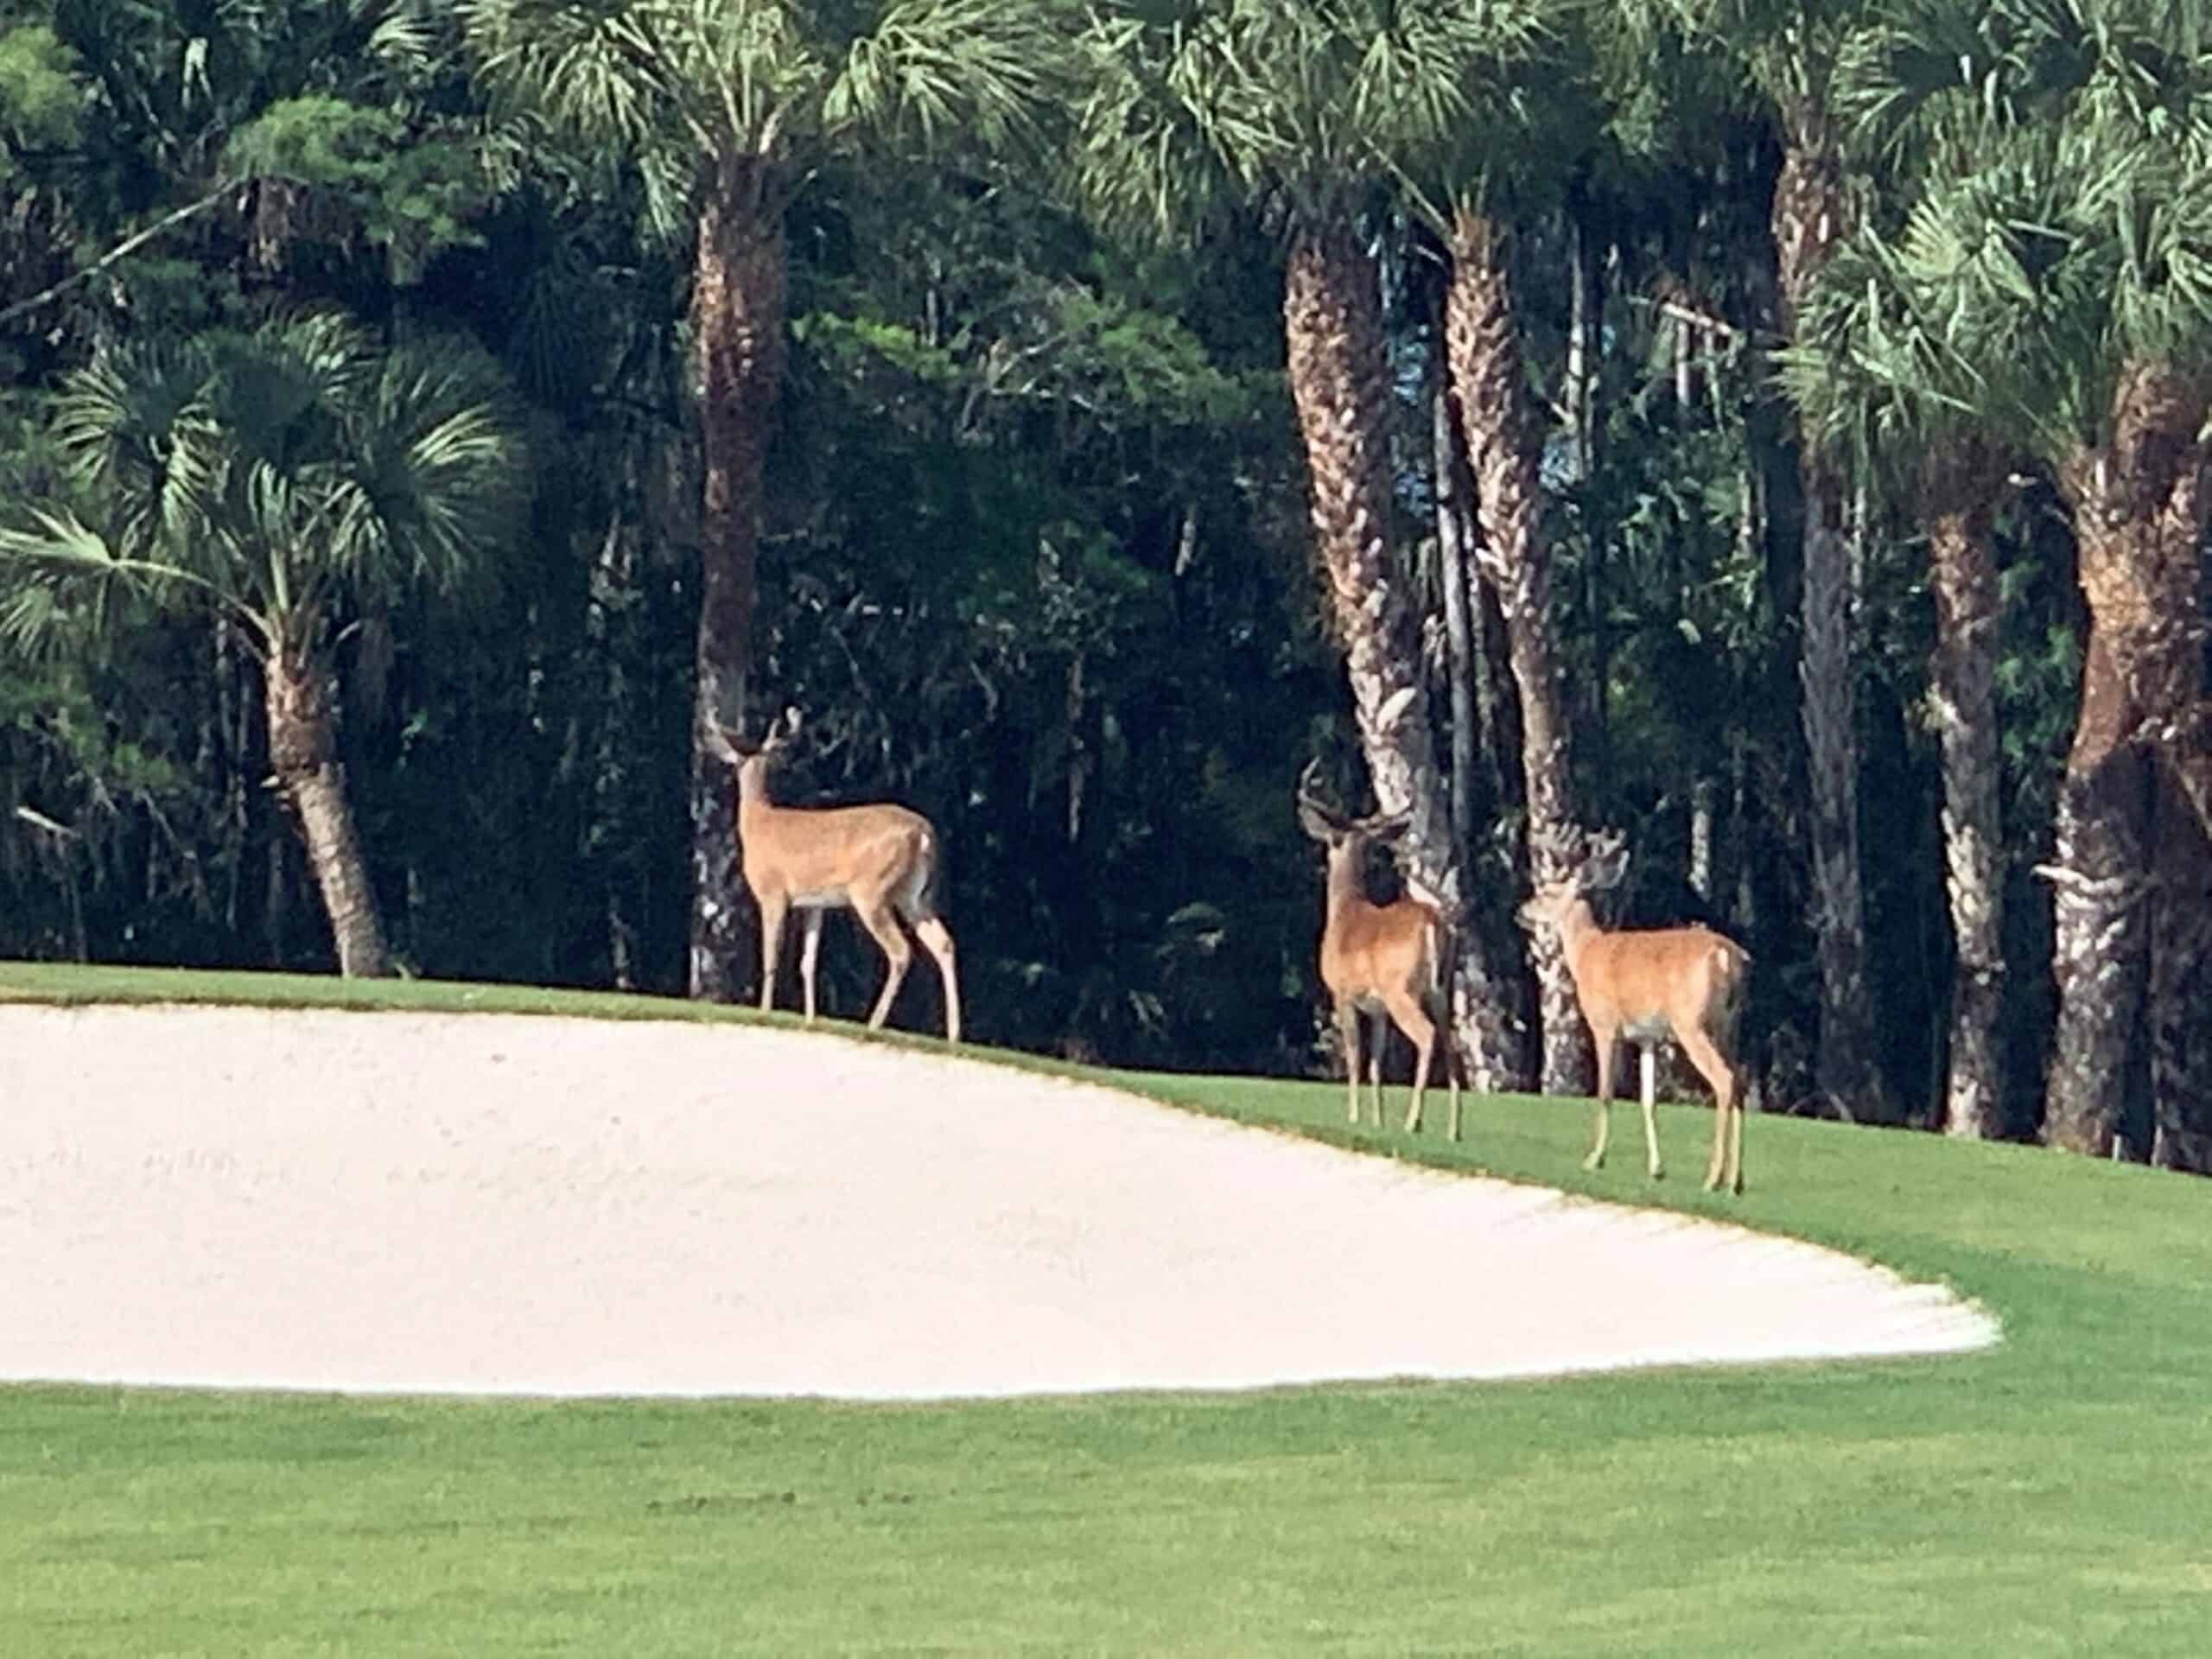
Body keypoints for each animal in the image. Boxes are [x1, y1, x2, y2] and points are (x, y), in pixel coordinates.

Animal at [705, 709, 961, 1044]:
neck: (758, 823)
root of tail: (923, 833)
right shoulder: (815, 903)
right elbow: (808, 961)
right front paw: (811, 1020)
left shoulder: (772, 892)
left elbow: (771, 955)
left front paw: (764, 1013)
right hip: (915, 894)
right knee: (944, 943)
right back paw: (954, 1034)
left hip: (871, 890)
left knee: (901, 950)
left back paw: (874, 1024)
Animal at [1297, 761, 1464, 1139]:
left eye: (1332, 840)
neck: (1345, 911)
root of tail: (1431, 921)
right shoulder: (1378, 1010)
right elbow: (1376, 1062)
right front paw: (1378, 1121)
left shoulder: (1342, 994)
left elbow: (1355, 1056)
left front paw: (1355, 1118)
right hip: (1441, 990)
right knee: (1452, 1042)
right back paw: (1453, 1130)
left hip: (1400, 988)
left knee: (1427, 1036)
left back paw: (1414, 1121)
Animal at [1516, 831, 1750, 1193]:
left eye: (1547, 892)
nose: (1521, 909)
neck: (1585, 953)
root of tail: (1727, 955)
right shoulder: (1646, 1036)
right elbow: (1647, 1099)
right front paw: (1656, 1168)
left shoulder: (1603, 1024)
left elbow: (1605, 1092)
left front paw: (1594, 1160)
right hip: (1730, 1024)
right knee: (1739, 1076)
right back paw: (1735, 1182)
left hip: (1691, 1021)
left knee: (1723, 1079)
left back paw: (1712, 1178)